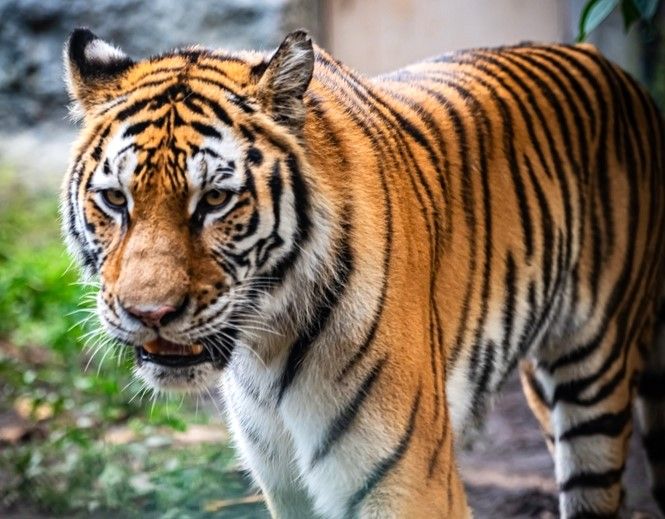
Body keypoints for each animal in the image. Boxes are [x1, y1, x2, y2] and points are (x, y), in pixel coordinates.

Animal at [61, 26, 665, 518]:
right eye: (115, 199)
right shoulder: (286, 487)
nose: (150, 314)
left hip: (595, 375)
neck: (265, 348)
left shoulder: (407, 483)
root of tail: (608, 63)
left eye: (213, 200)